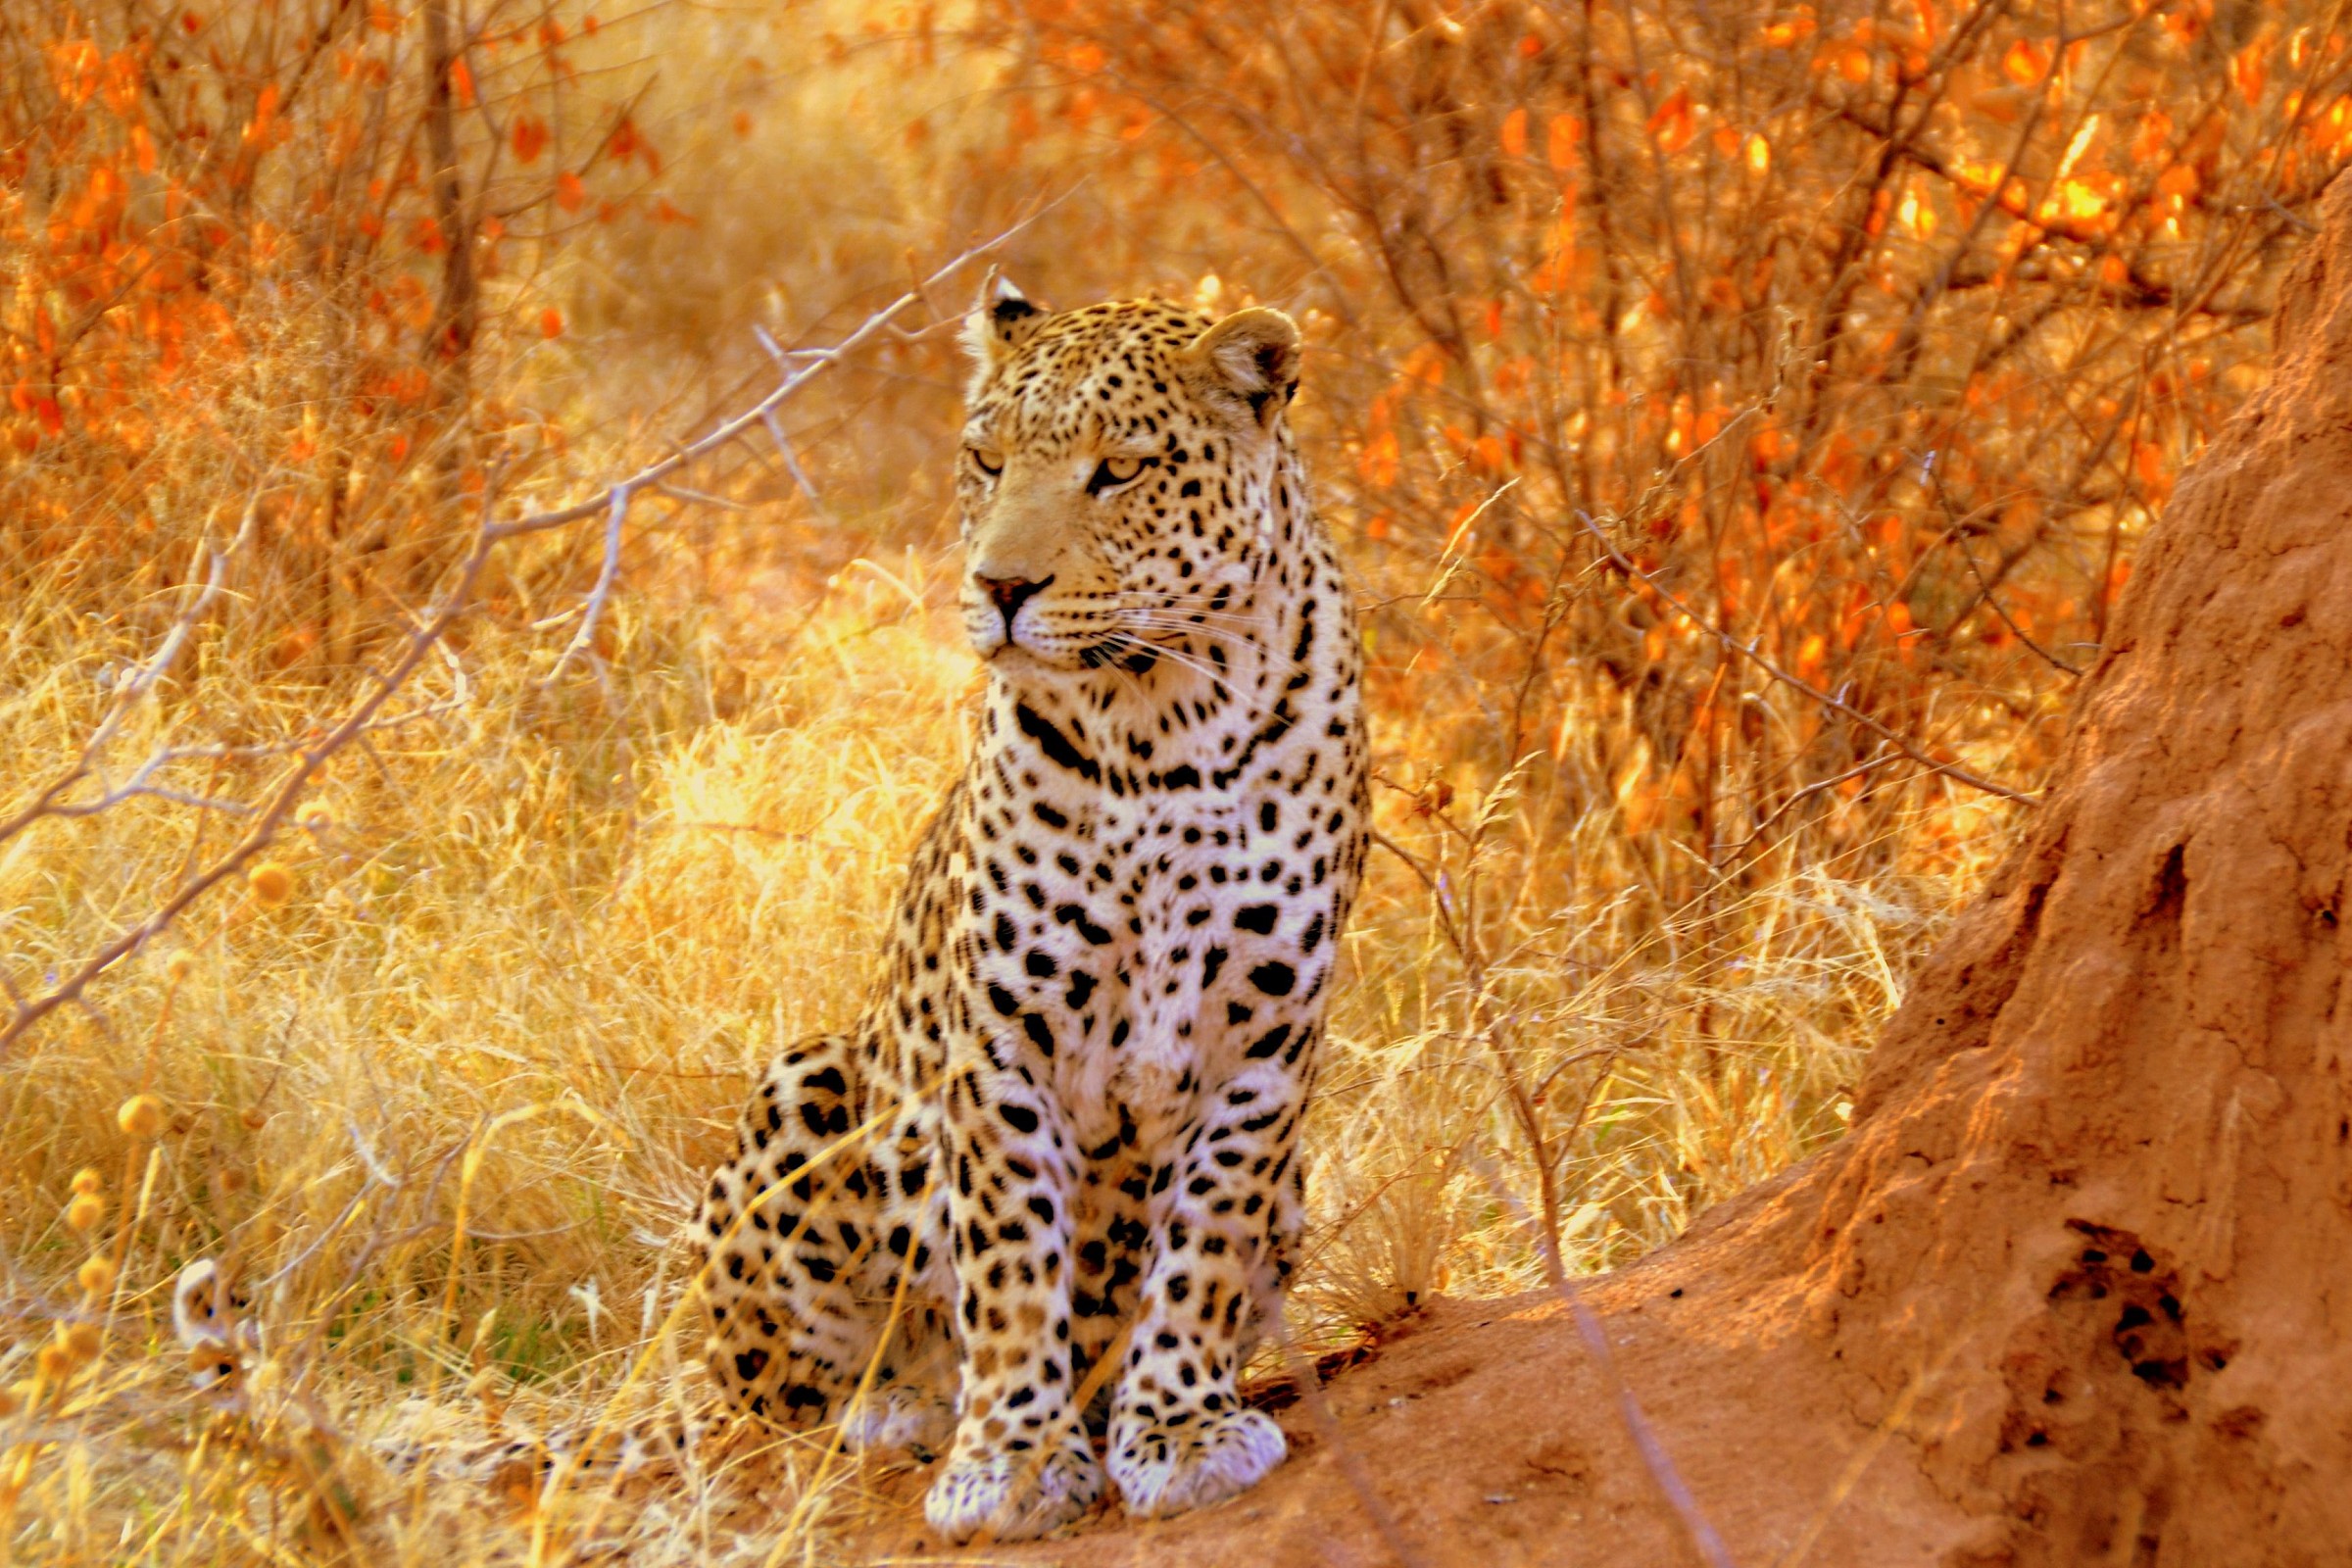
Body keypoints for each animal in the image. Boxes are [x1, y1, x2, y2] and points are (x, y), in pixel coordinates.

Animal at [693, 283, 1368, 1543]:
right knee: (780, 1396)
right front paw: (1009, 1459)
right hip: (806, 1086)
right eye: (987, 459)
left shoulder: (1263, 1043)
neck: (1159, 727)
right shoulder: (1002, 1044)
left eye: (1120, 470)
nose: (1001, 589)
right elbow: (1009, 1261)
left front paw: (1181, 1429)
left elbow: (1202, 1247)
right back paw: (905, 1405)